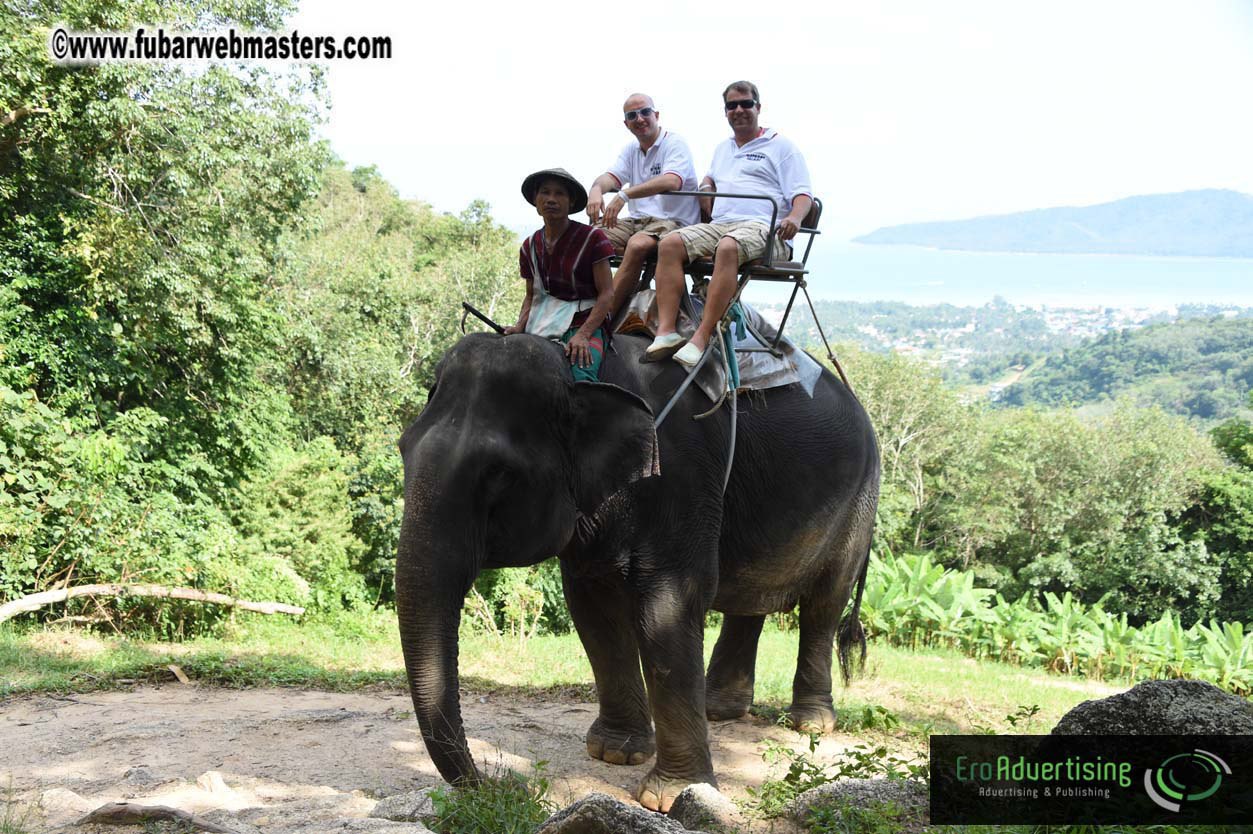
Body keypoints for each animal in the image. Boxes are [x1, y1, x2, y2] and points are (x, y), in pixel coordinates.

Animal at [395, 329, 880, 812]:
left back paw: (810, 723)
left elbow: (666, 605)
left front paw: (671, 796)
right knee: (749, 602)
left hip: (859, 503)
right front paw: (616, 753)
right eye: (403, 449)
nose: (504, 784)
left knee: (823, 605)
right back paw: (718, 710)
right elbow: (594, 609)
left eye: (499, 473)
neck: (579, 371)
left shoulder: (682, 473)